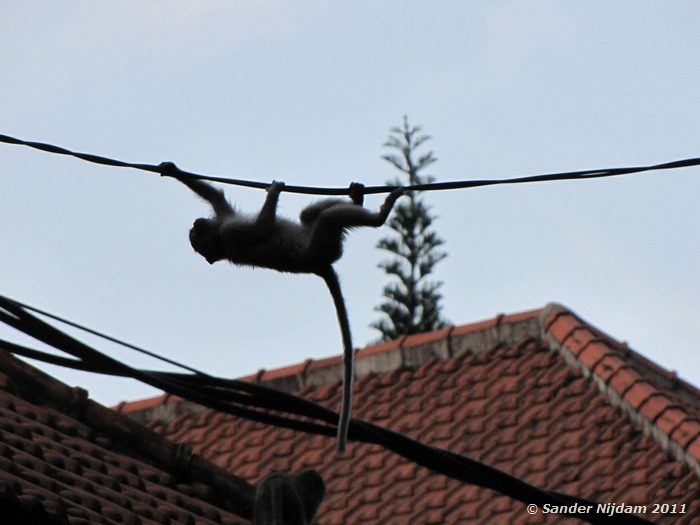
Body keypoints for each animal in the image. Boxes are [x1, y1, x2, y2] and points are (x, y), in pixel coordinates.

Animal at [161, 162, 404, 452]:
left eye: (195, 231)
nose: (196, 224)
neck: (219, 237)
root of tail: (318, 266)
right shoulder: (231, 235)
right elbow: (261, 229)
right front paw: (274, 192)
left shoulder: (224, 222)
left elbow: (215, 196)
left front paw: (172, 170)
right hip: (322, 246)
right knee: (326, 219)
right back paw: (380, 215)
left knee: (310, 214)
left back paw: (357, 198)